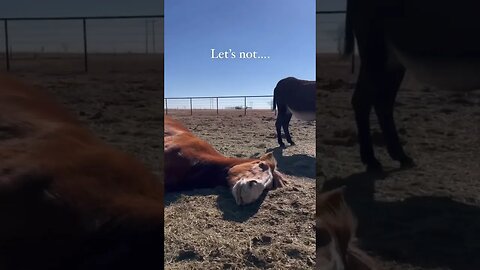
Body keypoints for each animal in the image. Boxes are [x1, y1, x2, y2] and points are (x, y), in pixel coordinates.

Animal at [344, 0, 480, 172]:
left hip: (392, 63)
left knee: (382, 104)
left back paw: (401, 157)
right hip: (375, 54)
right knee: (362, 101)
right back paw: (372, 161)